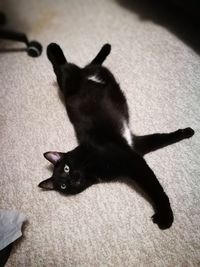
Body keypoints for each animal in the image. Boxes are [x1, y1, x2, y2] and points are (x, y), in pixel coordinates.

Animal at [38, 44, 194, 230]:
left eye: (66, 168)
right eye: (63, 185)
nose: (72, 179)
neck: (90, 166)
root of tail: (87, 73)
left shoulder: (133, 159)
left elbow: (155, 187)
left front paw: (165, 217)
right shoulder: (135, 149)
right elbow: (161, 141)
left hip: (68, 78)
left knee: (62, 65)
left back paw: (62, 48)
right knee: (86, 64)